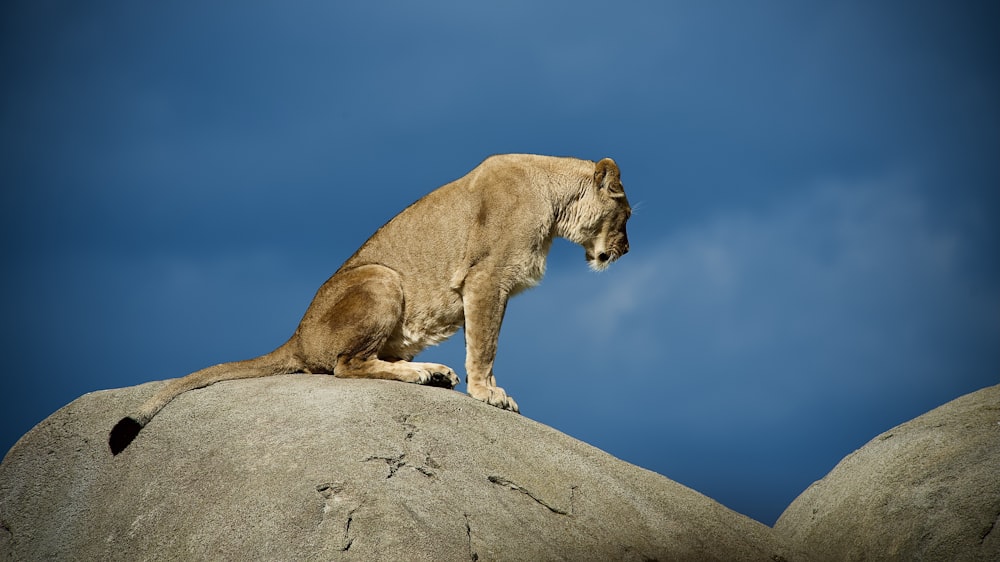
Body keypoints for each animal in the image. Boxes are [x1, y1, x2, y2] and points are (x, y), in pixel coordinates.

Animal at [109, 152, 632, 450]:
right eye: (625, 214)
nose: (627, 250)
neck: (555, 199)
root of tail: (295, 336)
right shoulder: (486, 280)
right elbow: (485, 345)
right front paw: (489, 394)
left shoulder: (485, 286)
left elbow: (483, 342)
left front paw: (483, 388)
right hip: (382, 277)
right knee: (346, 366)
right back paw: (421, 374)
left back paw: (434, 372)